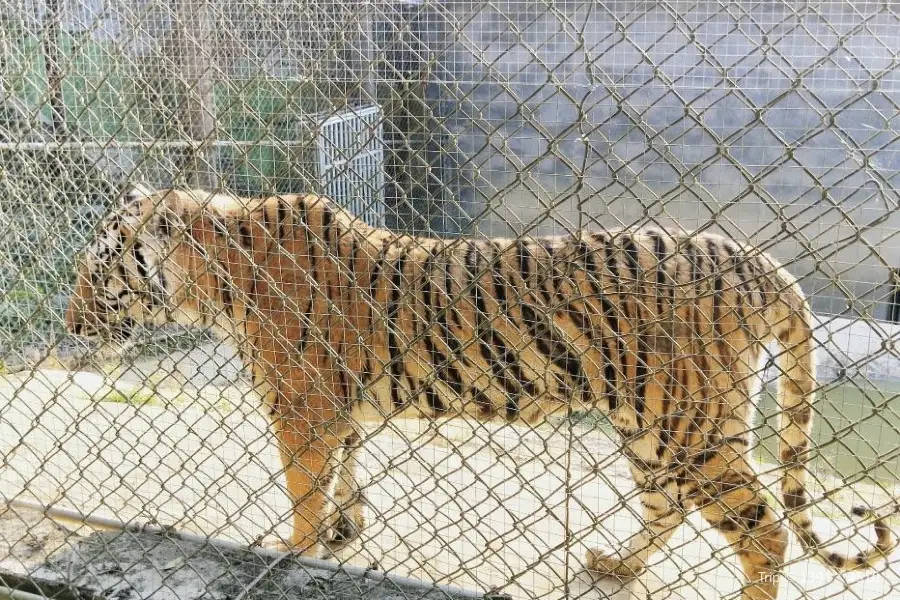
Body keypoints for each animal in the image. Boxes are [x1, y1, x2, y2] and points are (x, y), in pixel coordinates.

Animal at [67, 185, 896, 596]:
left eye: (94, 271)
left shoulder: (299, 408)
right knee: (668, 511)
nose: (68, 322)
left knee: (764, 531)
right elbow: (345, 472)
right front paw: (344, 531)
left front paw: (293, 549)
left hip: (689, 428)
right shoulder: (340, 408)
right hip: (651, 431)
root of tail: (760, 260)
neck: (212, 279)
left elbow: (304, 487)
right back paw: (616, 567)